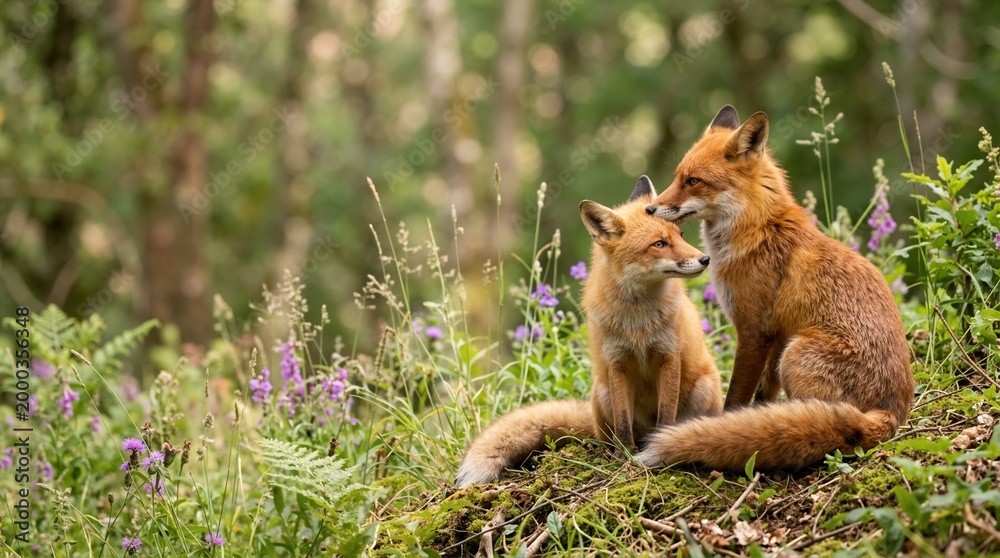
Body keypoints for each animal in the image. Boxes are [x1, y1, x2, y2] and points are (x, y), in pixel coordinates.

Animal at [455, 177, 723, 487]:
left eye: (680, 235)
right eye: (659, 244)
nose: (705, 259)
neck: (637, 322)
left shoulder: (668, 356)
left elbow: (666, 414)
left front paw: (663, 442)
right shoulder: (617, 362)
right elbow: (622, 422)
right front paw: (623, 458)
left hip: (703, 388)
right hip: (602, 392)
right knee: (608, 436)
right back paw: (617, 451)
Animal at [637, 105, 914, 472]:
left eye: (693, 181)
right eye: (676, 177)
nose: (649, 209)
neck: (757, 230)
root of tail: (895, 411)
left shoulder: (754, 332)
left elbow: (736, 397)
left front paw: (726, 426)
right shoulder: (776, 334)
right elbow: (763, 396)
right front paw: (751, 422)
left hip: (796, 355)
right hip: (789, 352)